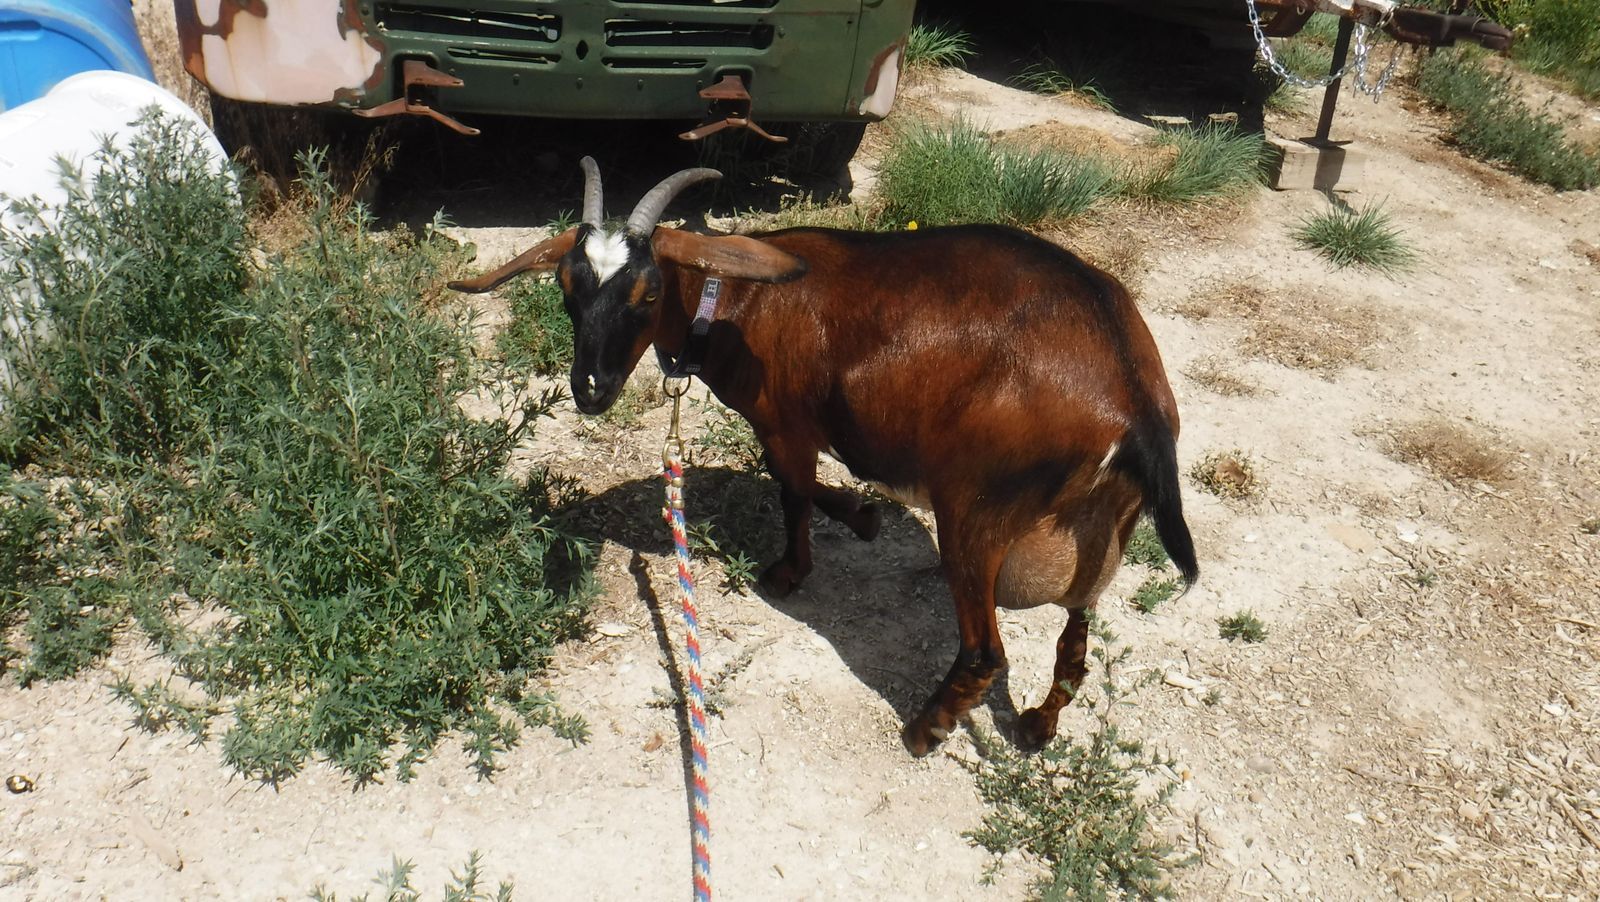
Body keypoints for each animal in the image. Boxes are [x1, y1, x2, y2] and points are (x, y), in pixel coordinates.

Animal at [450, 159, 1198, 756]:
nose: (590, 389)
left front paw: (805, 559)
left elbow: (794, 488)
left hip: (978, 506)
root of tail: (1132, 397)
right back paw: (1039, 725)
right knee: (1076, 638)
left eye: (649, 292)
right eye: (566, 289)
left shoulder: (785, 422)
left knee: (985, 650)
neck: (735, 298)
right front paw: (857, 520)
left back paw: (925, 730)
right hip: (1101, 526)